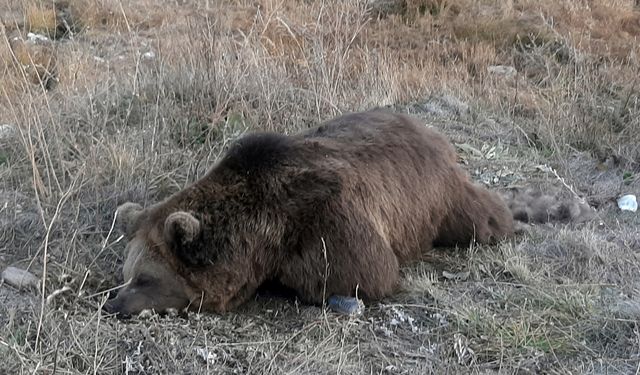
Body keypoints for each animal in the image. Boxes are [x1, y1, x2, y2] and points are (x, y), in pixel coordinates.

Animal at [102, 111, 528, 318]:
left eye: (145, 278)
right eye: (125, 275)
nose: (113, 305)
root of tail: (431, 130)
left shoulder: (331, 224)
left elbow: (364, 274)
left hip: (441, 197)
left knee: (480, 219)